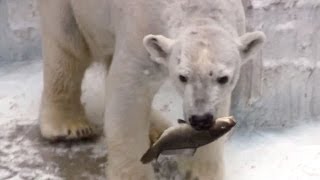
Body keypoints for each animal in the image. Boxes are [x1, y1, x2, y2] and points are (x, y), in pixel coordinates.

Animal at [38, 0, 264, 179]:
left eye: (223, 78)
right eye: (182, 77)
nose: (201, 119)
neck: (198, 8)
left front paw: (201, 173)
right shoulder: (141, 30)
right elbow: (129, 94)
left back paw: (158, 129)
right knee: (68, 44)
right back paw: (69, 127)